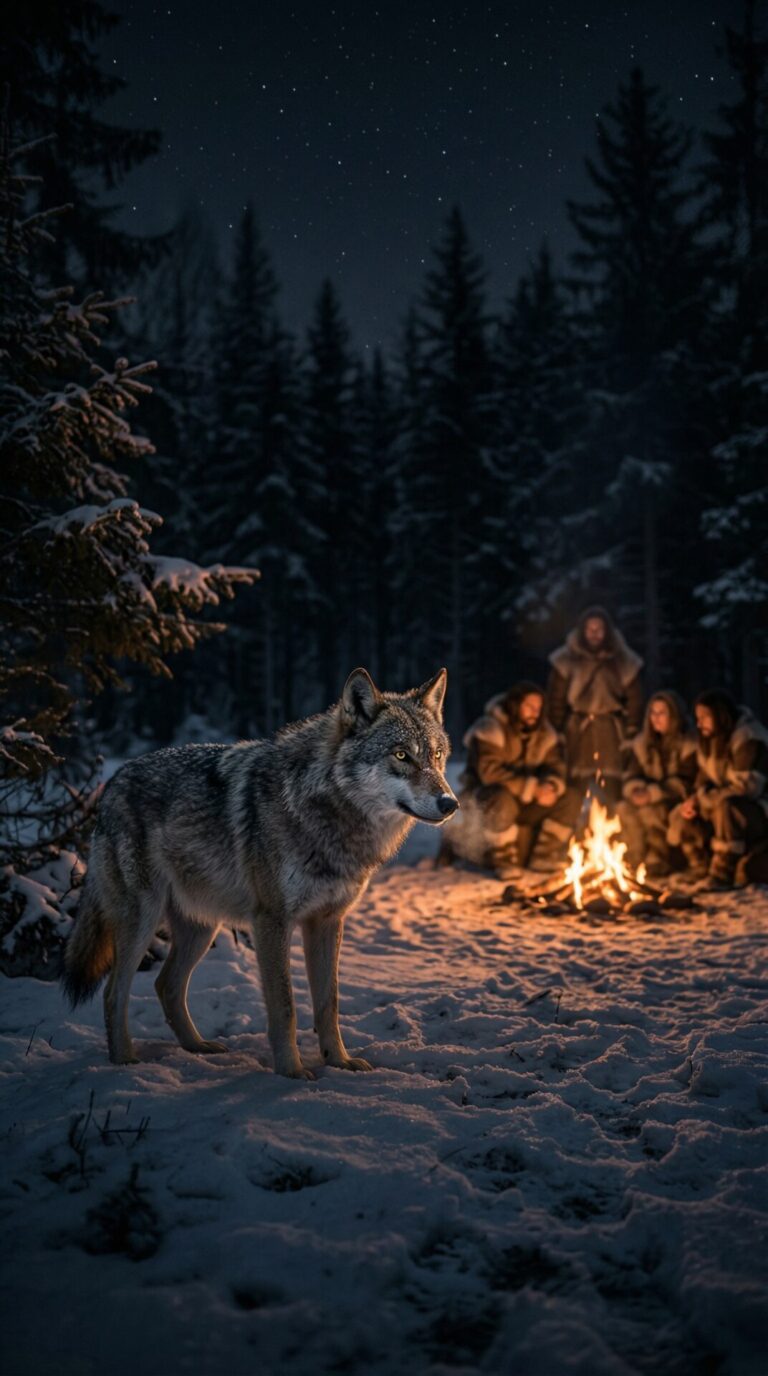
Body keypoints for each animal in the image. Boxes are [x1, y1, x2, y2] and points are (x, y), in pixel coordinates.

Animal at [62, 667, 458, 1078]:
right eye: (401, 755)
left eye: (437, 755)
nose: (450, 803)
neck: (328, 814)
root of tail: (111, 785)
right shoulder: (272, 921)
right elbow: (286, 1007)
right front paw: (291, 1071)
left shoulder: (328, 921)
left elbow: (328, 1005)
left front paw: (339, 1061)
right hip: (143, 920)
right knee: (114, 991)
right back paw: (124, 1060)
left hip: (201, 928)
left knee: (165, 985)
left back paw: (197, 1047)